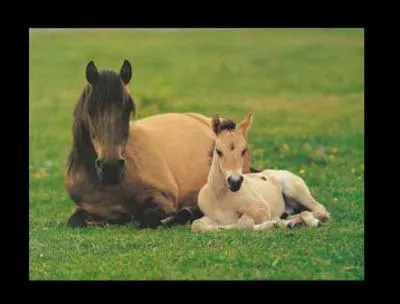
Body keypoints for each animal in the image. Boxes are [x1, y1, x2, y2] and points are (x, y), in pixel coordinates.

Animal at [65, 60, 253, 228]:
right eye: (90, 110)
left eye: (128, 109)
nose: (110, 167)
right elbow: (74, 221)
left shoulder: (162, 198)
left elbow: (150, 217)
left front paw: (184, 214)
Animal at [192, 113, 330, 232]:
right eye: (218, 151)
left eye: (243, 151)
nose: (235, 182)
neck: (221, 196)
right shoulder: (210, 217)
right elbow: (197, 225)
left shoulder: (261, 210)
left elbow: (244, 223)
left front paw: (272, 224)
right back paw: (290, 221)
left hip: (295, 191)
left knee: (320, 210)